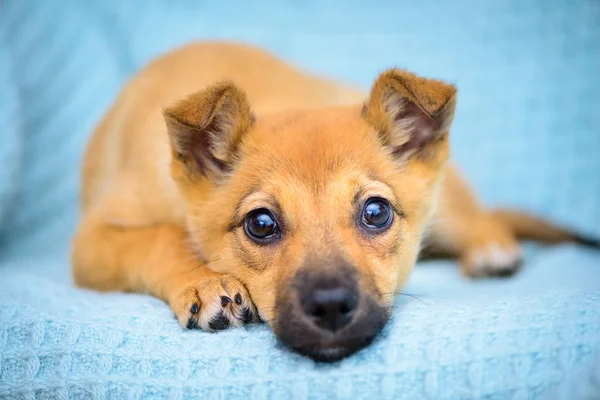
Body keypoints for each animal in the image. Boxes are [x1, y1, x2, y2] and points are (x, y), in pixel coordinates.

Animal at [72, 42, 596, 360]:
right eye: (260, 224)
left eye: (376, 212)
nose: (329, 308)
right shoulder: (92, 240)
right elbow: (160, 237)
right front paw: (203, 280)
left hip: (448, 206)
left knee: (479, 218)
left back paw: (491, 248)